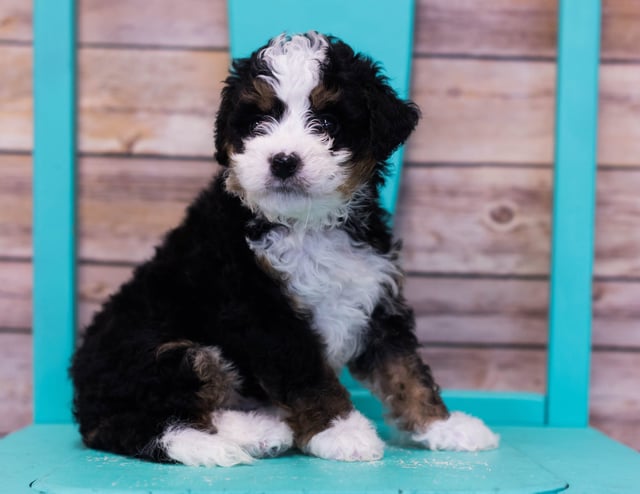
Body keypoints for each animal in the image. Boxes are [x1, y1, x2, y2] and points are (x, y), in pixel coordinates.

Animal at [71, 31, 500, 466]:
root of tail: (88, 409)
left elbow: (405, 368)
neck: (309, 224)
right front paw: (340, 431)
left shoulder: (376, 295)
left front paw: (445, 425)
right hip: (160, 351)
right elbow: (305, 373)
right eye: (258, 122)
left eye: (326, 123)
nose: (282, 161)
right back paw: (256, 430)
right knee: (167, 414)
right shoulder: (261, 308)